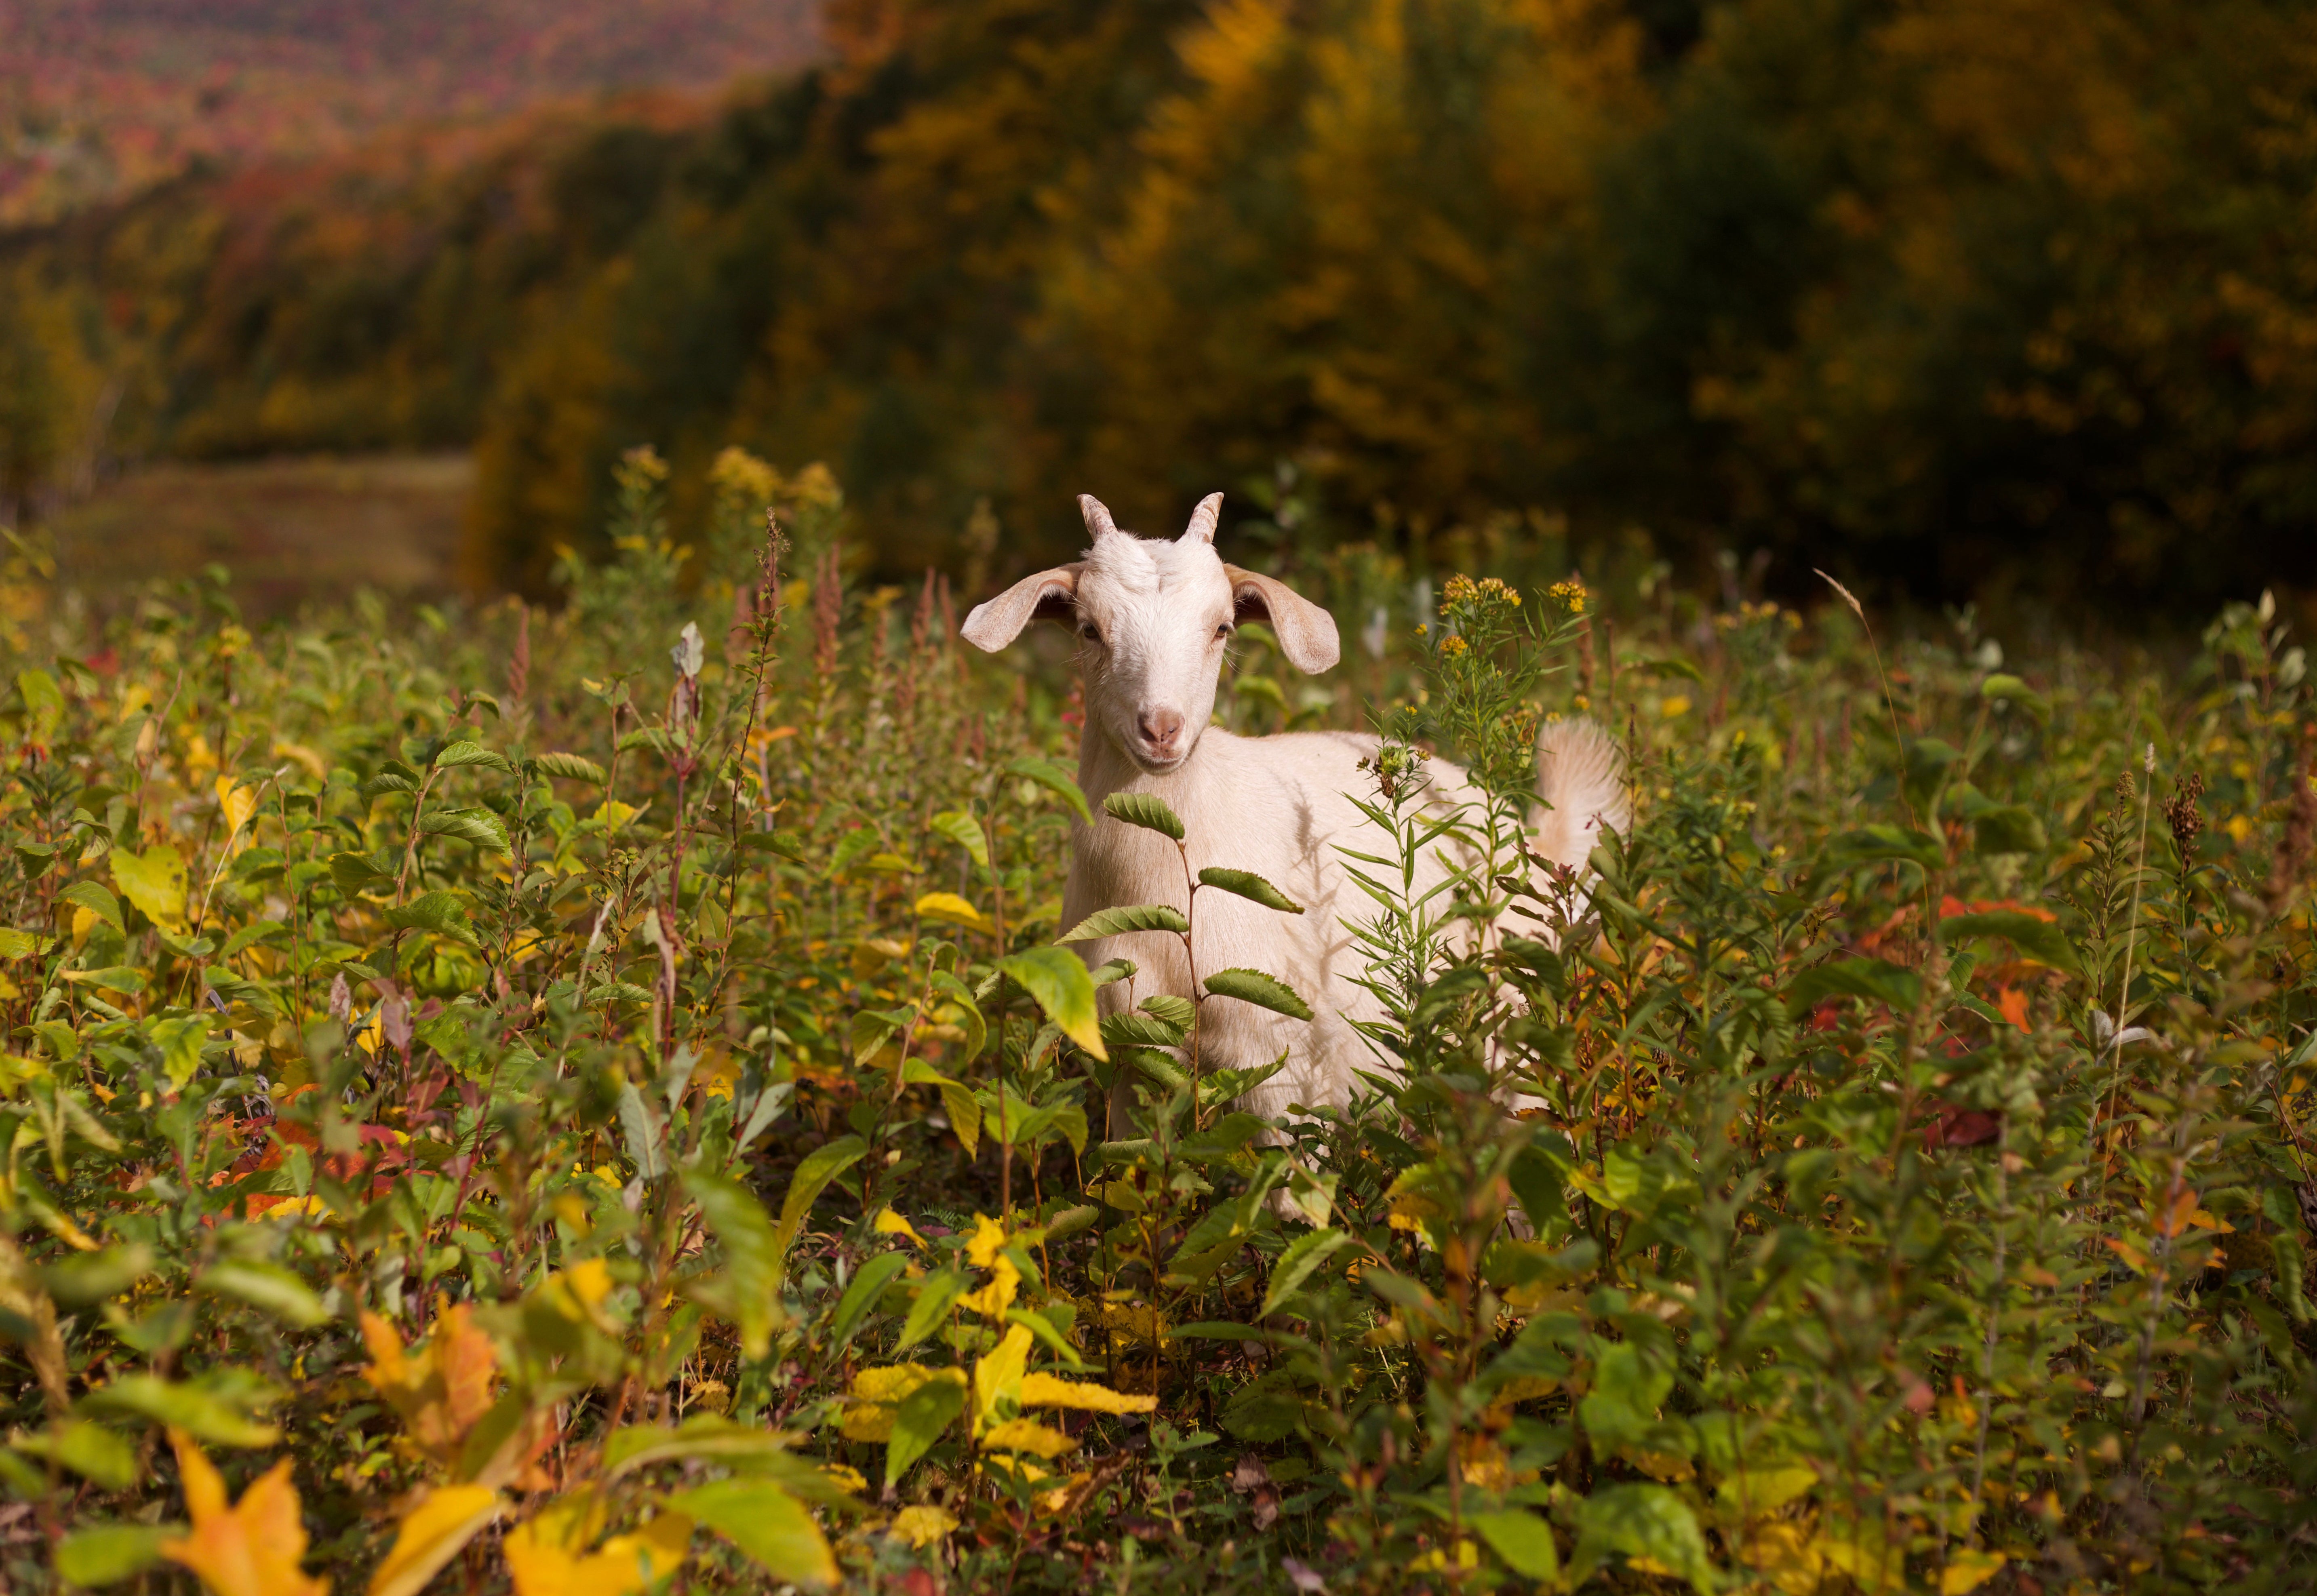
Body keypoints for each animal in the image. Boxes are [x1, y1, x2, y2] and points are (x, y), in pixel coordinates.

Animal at [960, 492, 1629, 1131]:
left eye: (1222, 627)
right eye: (1088, 629)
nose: (1161, 729)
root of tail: (1533, 841)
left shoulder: (1281, 1059)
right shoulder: (1131, 1052)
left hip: (1515, 1033)